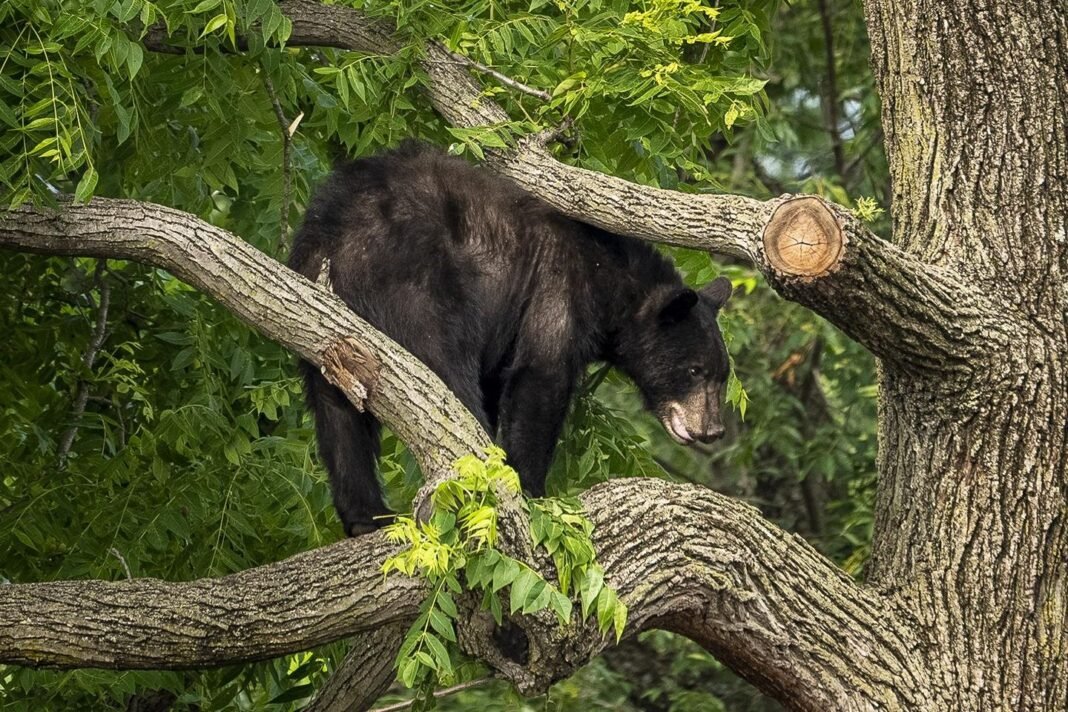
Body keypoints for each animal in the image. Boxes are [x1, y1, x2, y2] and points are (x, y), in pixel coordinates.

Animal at [288, 143, 730, 533]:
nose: (712, 429)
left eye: (722, 376)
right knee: (446, 371)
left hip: (329, 321)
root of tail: (334, 235)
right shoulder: (556, 289)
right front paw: (532, 487)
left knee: (336, 411)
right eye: (695, 370)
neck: (609, 282)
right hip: (416, 283)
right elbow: (540, 378)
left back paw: (366, 517)